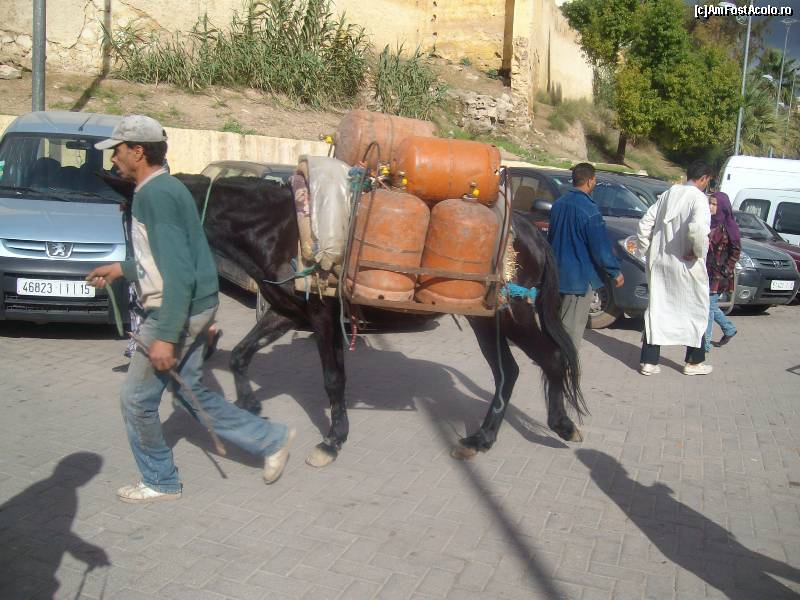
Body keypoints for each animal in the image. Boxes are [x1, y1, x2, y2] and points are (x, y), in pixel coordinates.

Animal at [106, 172, 586, 467]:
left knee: (548, 360)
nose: (131, 289)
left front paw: (333, 440)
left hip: (511, 316)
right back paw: (488, 437)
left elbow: (333, 380)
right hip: (488, 321)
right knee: (510, 371)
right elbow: (242, 354)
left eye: (137, 223)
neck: (281, 229)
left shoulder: (322, 318)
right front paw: (249, 403)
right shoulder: (286, 312)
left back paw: (550, 427)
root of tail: (530, 231)